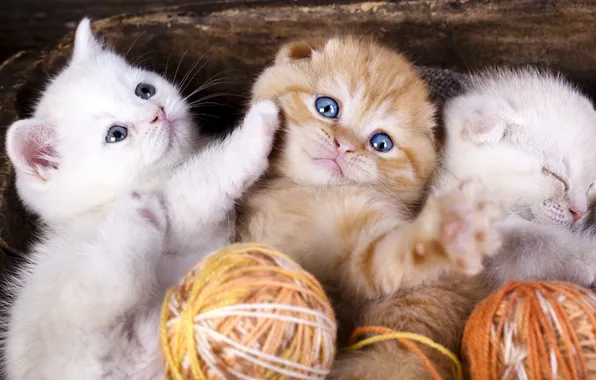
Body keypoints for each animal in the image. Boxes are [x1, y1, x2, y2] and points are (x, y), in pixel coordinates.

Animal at [1, 18, 280, 380]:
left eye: (144, 91)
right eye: (116, 134)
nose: (157, 113)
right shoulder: (178, 213)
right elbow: (209, 175)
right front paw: (259, 124)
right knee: (116, 282)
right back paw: (135, 215)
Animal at [236, 36, 502, 380]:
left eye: (381, 143)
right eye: (327, 107)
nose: (344, 146)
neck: (303, 189)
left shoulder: (362, 254)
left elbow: (387, 256)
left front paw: (450, 229)